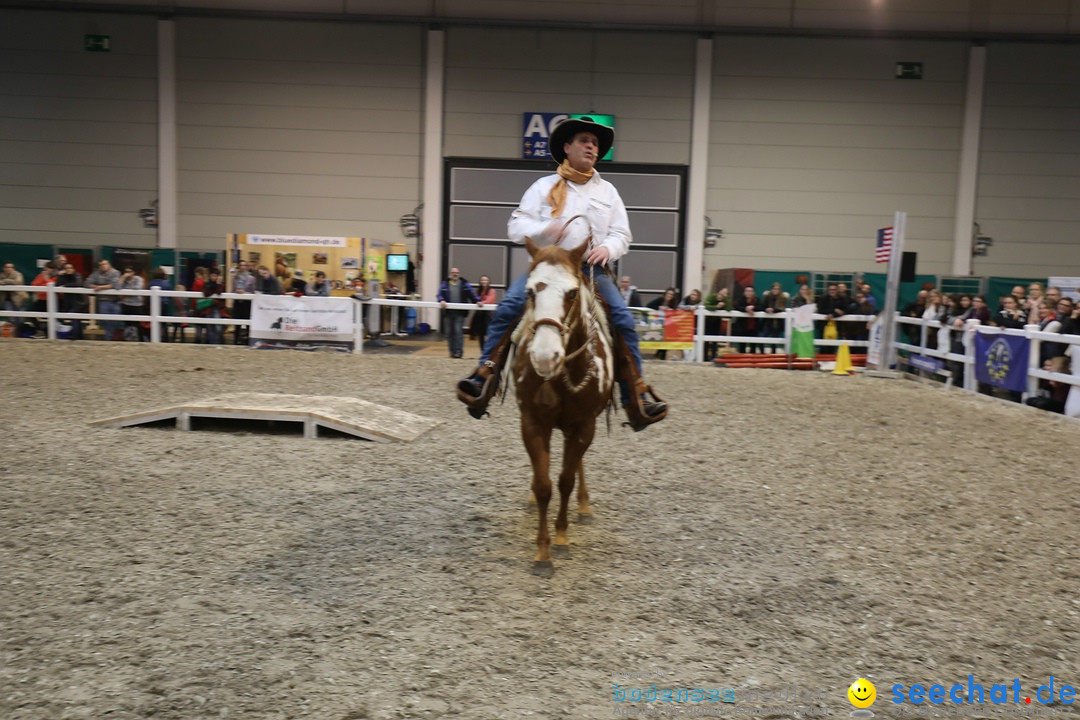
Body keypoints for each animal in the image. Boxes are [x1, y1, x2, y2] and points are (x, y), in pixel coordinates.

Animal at [509, 239, 613, 578]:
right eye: (530, 292)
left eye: (571, 293)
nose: (545, 356)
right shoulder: (532, 424)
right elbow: (544, 486)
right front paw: (542, 554)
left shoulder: (583, 426)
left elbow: (566, 480)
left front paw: (562, 538)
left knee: (575, 466)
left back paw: (584, 505)